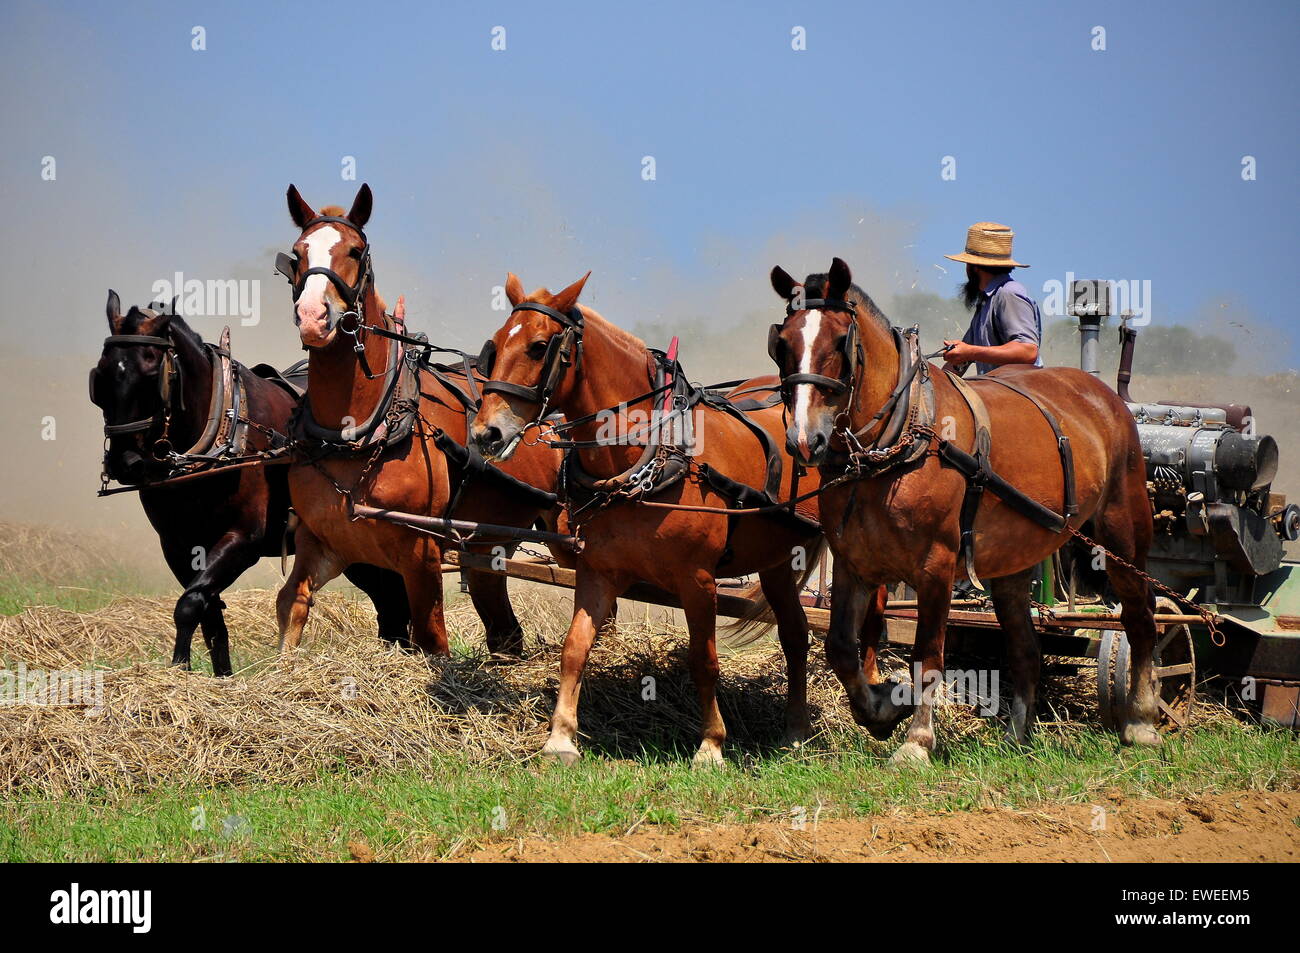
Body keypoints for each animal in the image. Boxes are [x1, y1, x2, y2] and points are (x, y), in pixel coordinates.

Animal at [92, 293, 405, 670]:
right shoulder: (177, 546)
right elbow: (208, 614)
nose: (125, 462)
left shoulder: (243, 540)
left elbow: (189, 605)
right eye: (99, 378)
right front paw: (213, 674)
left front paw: (179, 666)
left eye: (153, 373)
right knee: (389, 603)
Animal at [271, 187, 561, 655]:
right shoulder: (321, 542)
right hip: (490, 545)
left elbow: (431, 637)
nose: (314, 317)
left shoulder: (420, 553)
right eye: (298, 254)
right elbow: (291, 604)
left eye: (355, 251)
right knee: (503, 625)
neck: (357, 433)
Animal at [473, 269, 826, 764]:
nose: (485, 432)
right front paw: (560, 737)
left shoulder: (698, 579)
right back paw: (794, 730)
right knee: (795, 637)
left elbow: (703, 659)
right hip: (777, 561)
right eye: (497, 342)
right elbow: (574, 648)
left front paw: (711, 744)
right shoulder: (597, 570)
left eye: (539, 346)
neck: (646, 458)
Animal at [759, 256, 1159, 764]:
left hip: (1122, 533)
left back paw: (1142, 722)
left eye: (838, 341)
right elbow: (841, 649)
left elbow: (927, 654)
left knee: (1140, 617)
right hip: (1012, 565)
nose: (803, 439)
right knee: (1026, 649)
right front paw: (881, 710)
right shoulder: (854, 562)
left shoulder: (937, 565)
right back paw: (1017, 735)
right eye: (783, 342)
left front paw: (916, 742)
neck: (901, 438)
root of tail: (1105, 396)